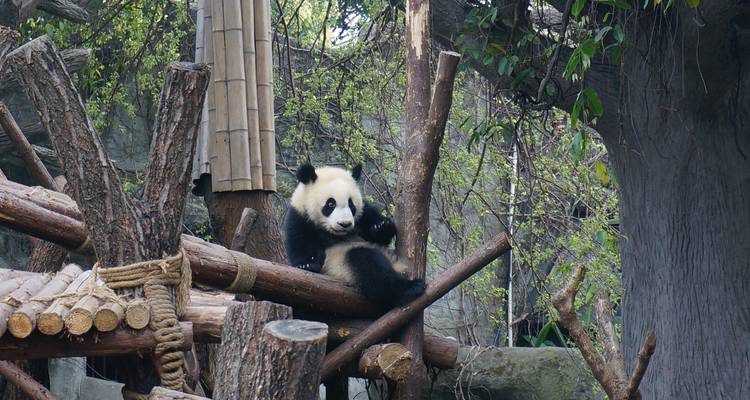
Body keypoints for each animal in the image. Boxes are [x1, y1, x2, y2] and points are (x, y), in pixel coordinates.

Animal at [284, 163, 425, 308]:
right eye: (330, 204)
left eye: (351, 204)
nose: (344, 224)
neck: (335, 233)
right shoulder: (299, 217)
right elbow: (300, 242)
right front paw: (307, 265)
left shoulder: (363, 214)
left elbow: (376, 230)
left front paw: (382, 227)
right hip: (339, 265)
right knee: (368, 264)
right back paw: (410, 288)